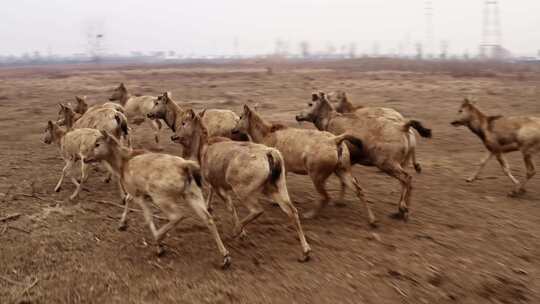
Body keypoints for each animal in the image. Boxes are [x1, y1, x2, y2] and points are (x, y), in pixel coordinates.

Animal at [83, 131, 231, 268]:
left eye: (97, 144)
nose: (85, 158)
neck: (122, 164)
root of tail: (186, 166)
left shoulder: (139, 194)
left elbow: (148, 217)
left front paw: (159, 247)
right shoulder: (136, 191)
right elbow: (129, 200)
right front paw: (122, 224)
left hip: (161, 195)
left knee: (178, 215)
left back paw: (158, 238)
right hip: (193, 193)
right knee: (208, 218)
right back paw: (225, 257)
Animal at [234, 104, 378, 226]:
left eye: (240, 116)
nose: (234, 129)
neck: (266, 133)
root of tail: (335, 140)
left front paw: (274, 201)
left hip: (317, 175)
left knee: (325, 197)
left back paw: (310, 215)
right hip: (342, 170)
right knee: (358, 190)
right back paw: (371, 220)